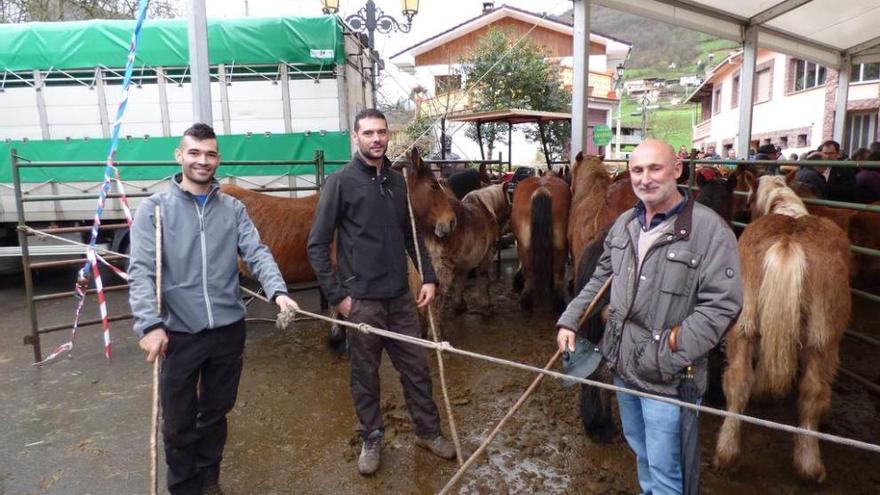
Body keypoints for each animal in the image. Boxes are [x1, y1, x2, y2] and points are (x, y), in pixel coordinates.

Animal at [508, 176, 572, 312]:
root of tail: (542, 189)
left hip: (524, 245)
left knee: (528, 268)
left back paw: (526, 300)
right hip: (560, 242)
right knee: (558, 267)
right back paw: (558, 301)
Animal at [716, 175, 852, 484]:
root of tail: (789, 240)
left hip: (742, 326)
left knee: (738, 381)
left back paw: (727, 453)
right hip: (823, 340)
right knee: (812, 394)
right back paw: (809, 464)